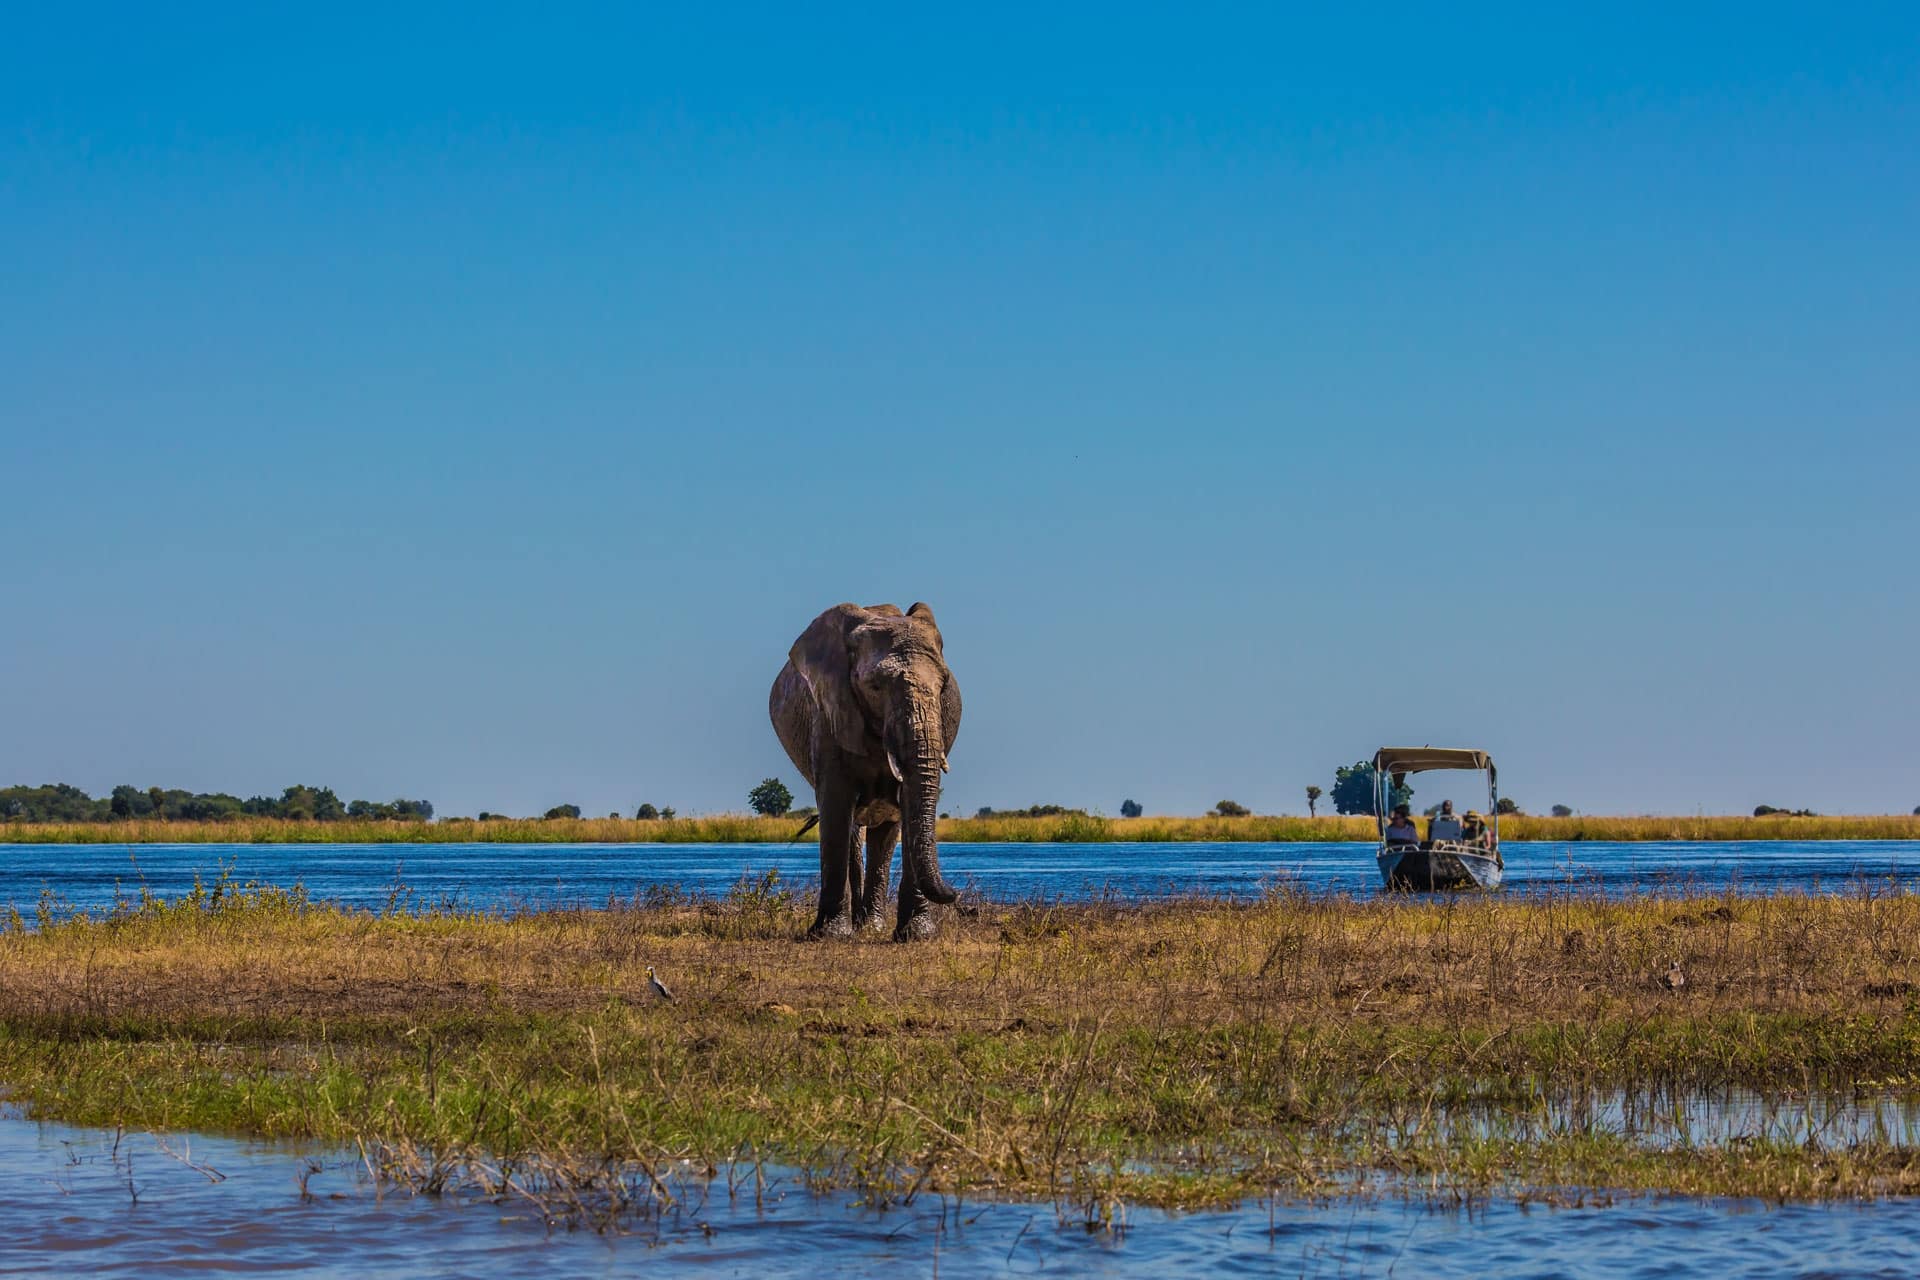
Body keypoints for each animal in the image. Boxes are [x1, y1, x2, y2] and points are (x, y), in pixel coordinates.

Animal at [768, 602, 960, 940]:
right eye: (875, 687)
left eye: (943, 685)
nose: (954, 893)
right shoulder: (828, 713)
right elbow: (835, 803)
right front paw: (830, 936)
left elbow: (909, 803)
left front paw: (916, 936)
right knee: (851, 828)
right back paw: (859, 926)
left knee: (886, 830)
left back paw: (871, 925)